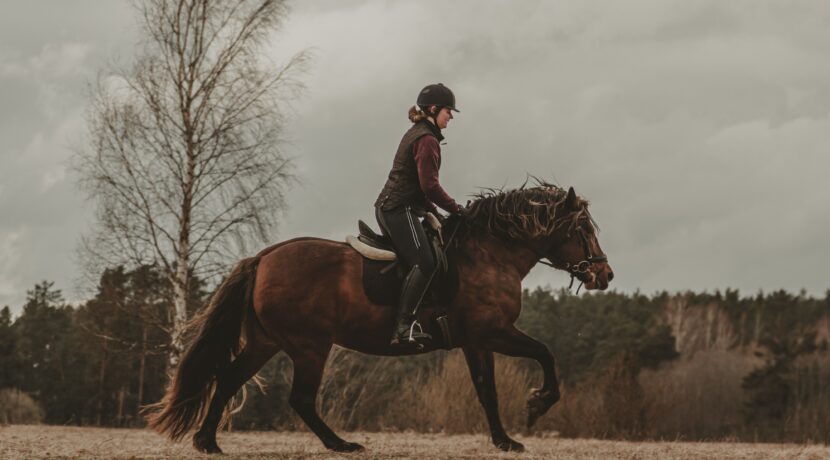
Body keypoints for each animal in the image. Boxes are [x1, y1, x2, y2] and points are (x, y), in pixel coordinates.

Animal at [145, 182, 612, 452]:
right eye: (582, 229)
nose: (604, 275)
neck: (490, 254)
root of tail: (264, 257)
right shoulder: (492, 332)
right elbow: (544, 354)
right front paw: (536, 407)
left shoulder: (476, 342)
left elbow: (487, 391)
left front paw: (504, 439)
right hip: (310, 346)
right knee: (300, 398)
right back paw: (342, 445)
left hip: (267, 342)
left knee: (228, 378)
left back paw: (207, 442)